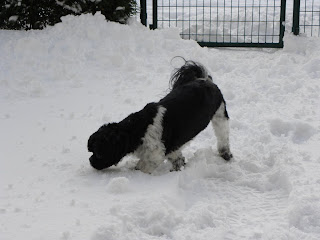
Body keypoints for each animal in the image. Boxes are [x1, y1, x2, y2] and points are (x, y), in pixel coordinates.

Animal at [87, 59, 232, 172]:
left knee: (223, 136)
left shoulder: (155, 154)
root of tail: (205, 79)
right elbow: (178, 159)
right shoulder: (171, 148)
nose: (91, 161)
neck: (137, 129)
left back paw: (226, 154)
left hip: (220, 116)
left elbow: (144, 166)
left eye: (98, 153)